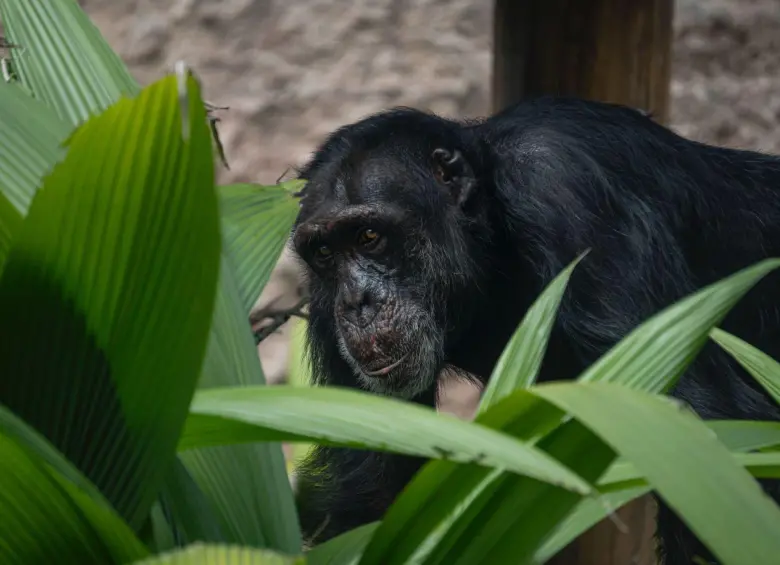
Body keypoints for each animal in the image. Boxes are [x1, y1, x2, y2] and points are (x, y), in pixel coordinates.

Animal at [288, 97, 780, 564]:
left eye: (369, 237)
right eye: (325, 251)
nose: (357, 303)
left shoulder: (563, 190)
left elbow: (701, 430)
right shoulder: (322, 300)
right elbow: (373, 488)